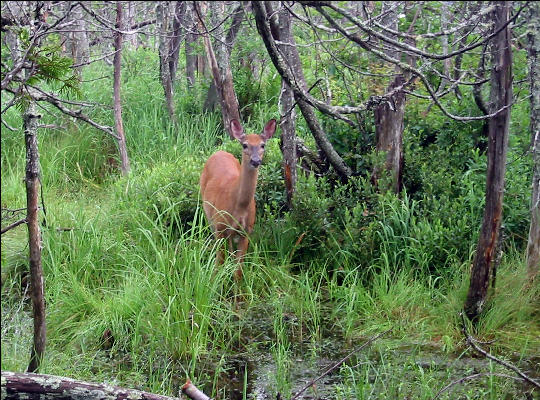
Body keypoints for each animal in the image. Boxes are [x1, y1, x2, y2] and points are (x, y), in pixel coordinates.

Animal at [199, 119, 278, 282]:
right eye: (245, 145)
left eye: (263, 145)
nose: (255, 161)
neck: (238, 205)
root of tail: (219, 151)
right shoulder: (220, 226)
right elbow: (219, 263)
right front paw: (215, 284)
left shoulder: (246, 231)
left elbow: (238, 271)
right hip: (209, 216)